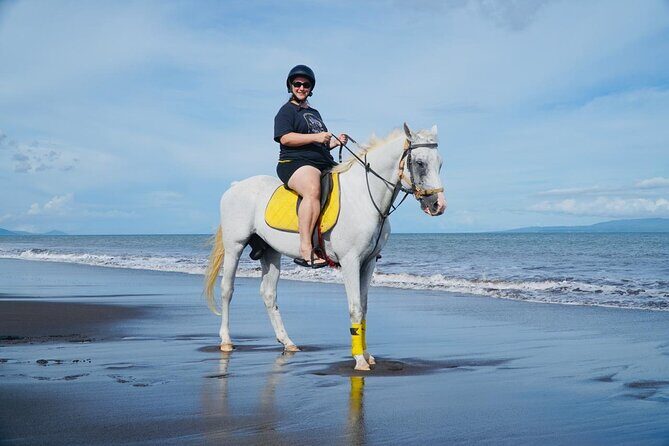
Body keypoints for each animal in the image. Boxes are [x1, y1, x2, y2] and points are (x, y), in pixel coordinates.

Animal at [204, 123, 446, 371]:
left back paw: (287, 342)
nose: (438, 205)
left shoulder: (368, 262)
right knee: (227, 289)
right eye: (420, 163)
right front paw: (359, 360)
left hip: (270, 252)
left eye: (439, 163)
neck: (364, 197)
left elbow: (364, 307)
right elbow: (355, 307)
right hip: (235, 247)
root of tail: (235, 187)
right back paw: (226, 341)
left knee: (269, 294)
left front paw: (367, 355)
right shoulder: (350, 261)